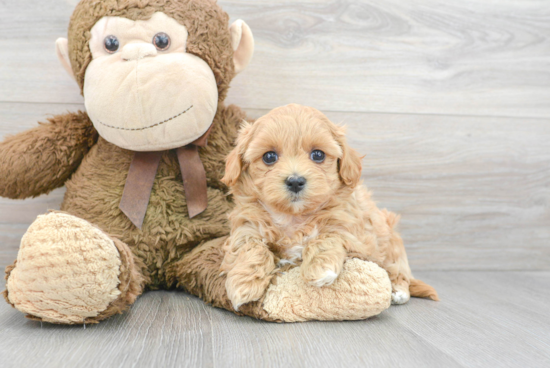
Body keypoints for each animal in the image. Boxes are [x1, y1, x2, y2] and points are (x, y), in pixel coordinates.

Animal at [220, 104, 440, 310]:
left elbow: (326, 237)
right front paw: (244, 282)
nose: (295, 181)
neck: (293, 217)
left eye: (318, 155)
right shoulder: (246, 226)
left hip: (391, 243)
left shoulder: (351, 232)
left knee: (399, 272)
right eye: (269, 157)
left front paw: (320, 268)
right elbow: (251, 246)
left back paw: (398, 291)